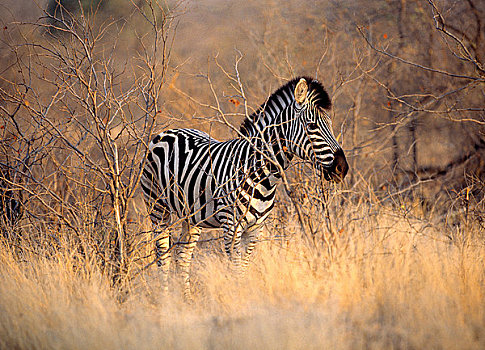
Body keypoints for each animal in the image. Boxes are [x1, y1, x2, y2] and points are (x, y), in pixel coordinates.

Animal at [140, 77, 348, 298]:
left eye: (330, 124)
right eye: (312, 126)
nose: (342, 168)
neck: (262, 177)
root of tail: (166, 132)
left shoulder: (255, 229)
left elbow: (245, 268)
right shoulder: (231, 227)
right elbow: (236, 271)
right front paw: (239, 299)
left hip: (192, 217)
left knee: (183, 257)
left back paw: (187, 301)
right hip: (157, 207)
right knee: (163, 255)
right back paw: (165, 300)